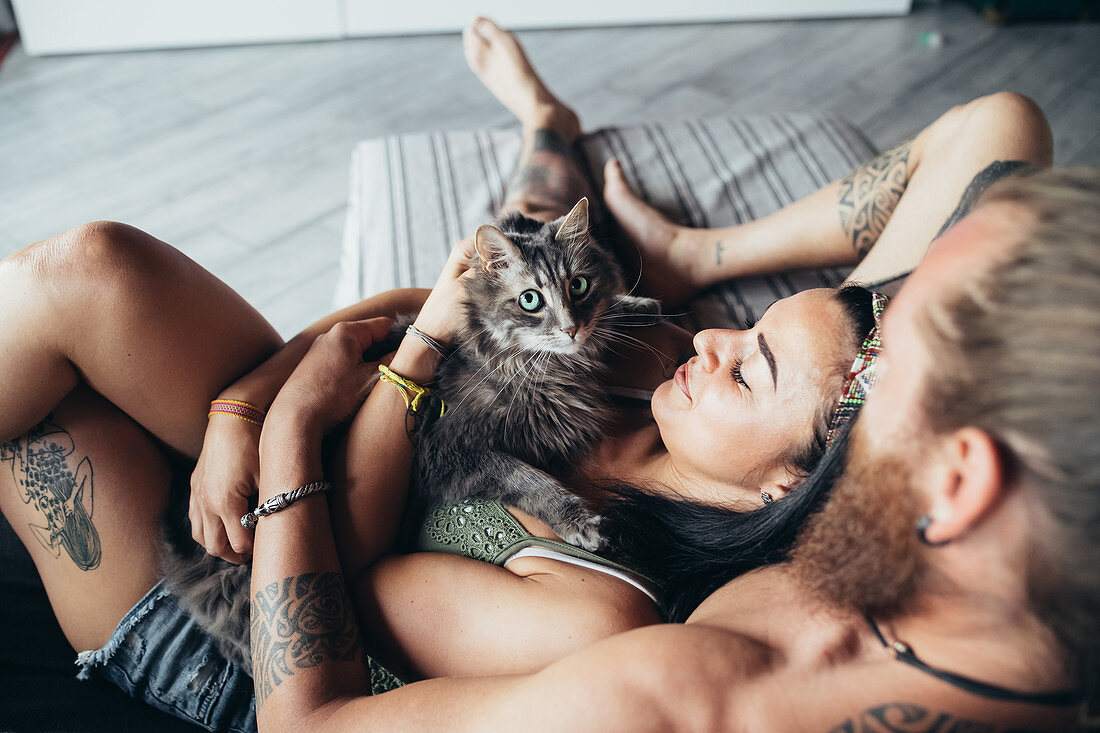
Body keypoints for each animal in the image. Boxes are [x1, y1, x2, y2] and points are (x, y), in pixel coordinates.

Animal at [159, 197, 655, 669]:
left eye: (579, 286)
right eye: (530, 300)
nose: (572, 329)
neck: (544, 367)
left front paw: (637, 307)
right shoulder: (449, 453)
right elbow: (529, 479)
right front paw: (579, 520)